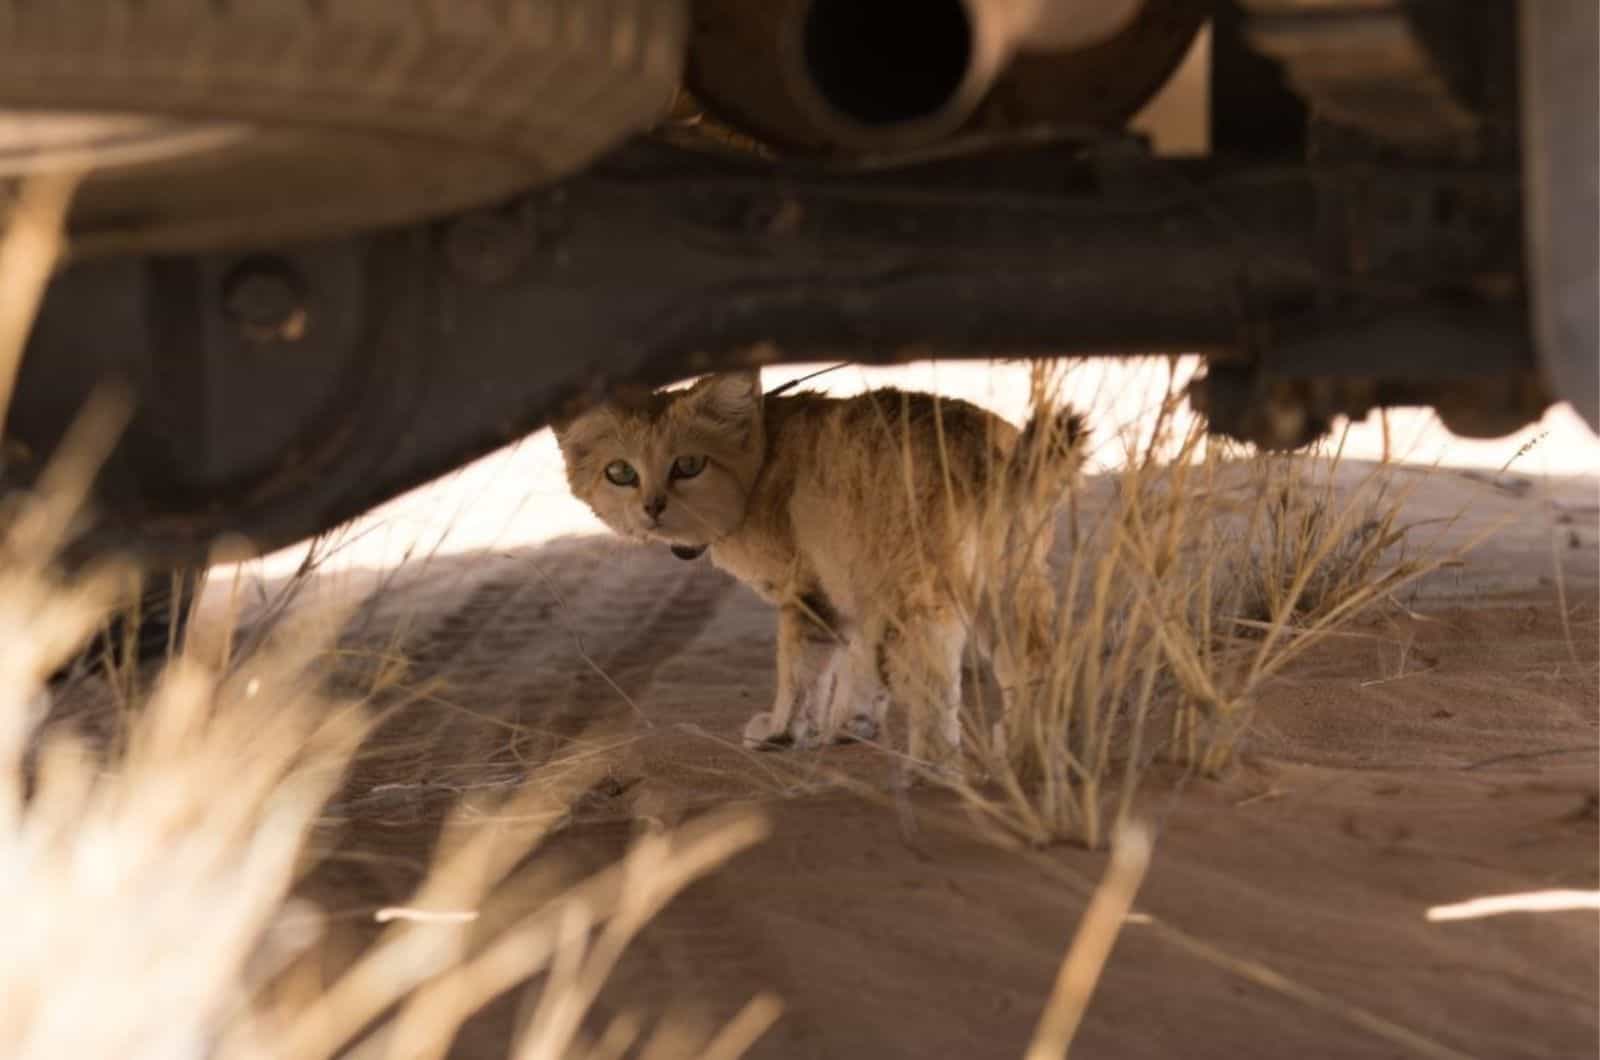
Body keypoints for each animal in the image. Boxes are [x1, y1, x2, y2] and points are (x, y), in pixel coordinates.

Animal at [553, 373, 1088, 765]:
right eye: (620, 472)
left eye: (688, 464)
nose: (652, 507)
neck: (763, 459)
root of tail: (984, 444)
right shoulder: (852, 585)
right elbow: (857, 668)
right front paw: (851, 725)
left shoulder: (809, 593)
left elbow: (798, 675)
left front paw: (781, 732)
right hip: (1008, 586)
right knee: (1036, 666)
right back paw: (1026, 753)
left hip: (920, 592)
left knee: (935, 680)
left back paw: (931, 767)